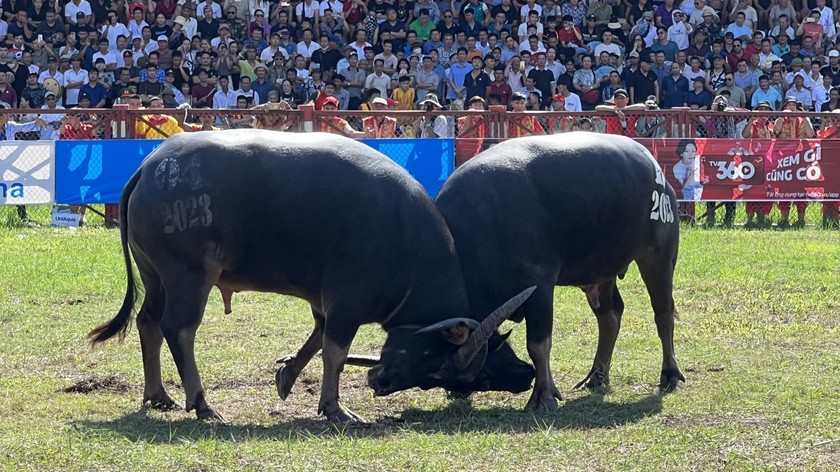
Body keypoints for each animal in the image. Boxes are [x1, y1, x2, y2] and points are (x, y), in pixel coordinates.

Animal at [88, 131, 536, 422]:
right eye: (440, 368)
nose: (526, 374)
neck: (402, 236)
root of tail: (149, 168)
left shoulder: (325, 301)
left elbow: (316, 340)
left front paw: (286, 376)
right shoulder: (348, 299)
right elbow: (334, 351)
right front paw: (335, 408)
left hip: (155, 276)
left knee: (147, 322)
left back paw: (158, 395)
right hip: (189, 275)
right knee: (179, 329)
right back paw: (201, 404)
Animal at [370, 133, 684, 410]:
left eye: (440, 367)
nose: (379, 379)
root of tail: (655, 168)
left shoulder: (540, 286)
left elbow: (538, 344)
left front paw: (543, 396)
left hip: (658, 256)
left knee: (663, 314)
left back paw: (669, 375)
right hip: (600, 272)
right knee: (610, 317)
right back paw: (595, 377)